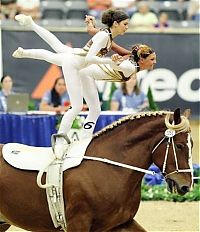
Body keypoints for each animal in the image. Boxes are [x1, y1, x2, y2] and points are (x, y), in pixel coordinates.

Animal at [0, 109, 194, 232]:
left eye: (191, 145)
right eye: (179, 145)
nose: (186, 186)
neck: (111, 169)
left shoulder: (121, 223)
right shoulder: (78, 222)